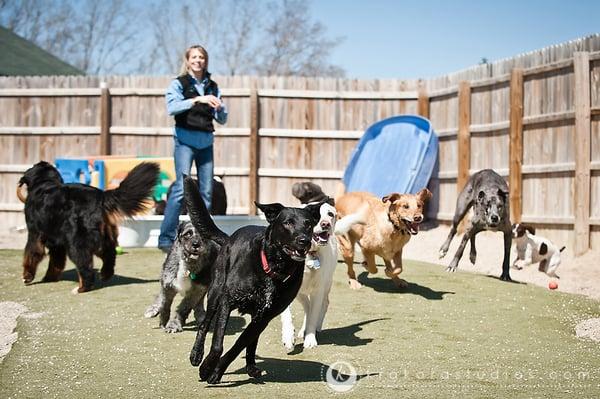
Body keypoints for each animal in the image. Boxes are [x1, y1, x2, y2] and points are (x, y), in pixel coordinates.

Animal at [17, 160, 159, 294]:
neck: (44, 182)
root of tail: (100, 196)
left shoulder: (35, 234)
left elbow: (31, 254)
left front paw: (27, 276)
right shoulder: (57, 242)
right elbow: (56, 262)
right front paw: (50, 278)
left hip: (77, 242)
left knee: (85, 267)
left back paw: (82, 288)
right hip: (102, 237)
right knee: (109, 254)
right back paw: (105, 274)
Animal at [184, 177, 322, 384]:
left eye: (308, 224)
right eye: (288, 223)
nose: (304, 240)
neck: (273, 270)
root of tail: (229, 238)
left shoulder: (264, 316)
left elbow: (238, 346)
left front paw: (216, 371)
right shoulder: (227, 301)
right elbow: (218, 344)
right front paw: (207, 367)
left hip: (258, 318)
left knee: (251, 342)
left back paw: (251, 366)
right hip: (215, 294)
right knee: (204, 325)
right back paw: (197, 355)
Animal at [280, 202, 364, 352]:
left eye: (330, 214)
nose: (325, 224)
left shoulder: (318, 290)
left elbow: (314, 315)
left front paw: (310, 339)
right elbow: (286, 314)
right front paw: (288, 336)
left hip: (326, 285)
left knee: (322, 305)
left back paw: (315, 327)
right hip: (300, 293)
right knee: (307, 306)